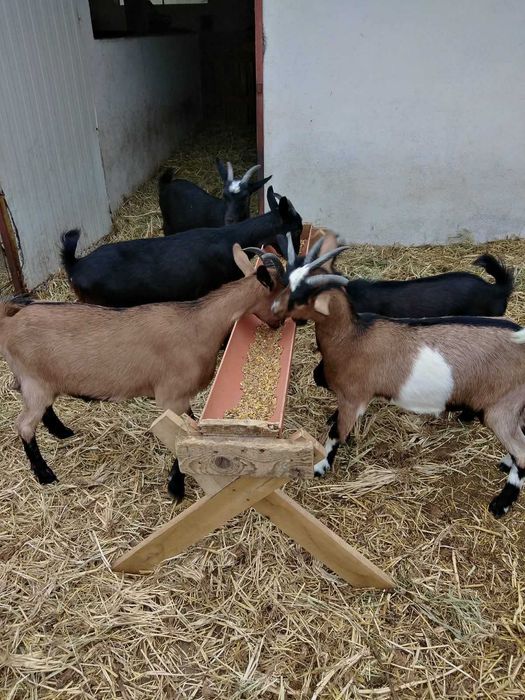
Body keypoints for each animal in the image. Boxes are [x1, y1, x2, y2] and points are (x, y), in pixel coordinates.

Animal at [1, 245, 282, 500]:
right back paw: (45, 474)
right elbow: (182, 435)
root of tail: (9, 324)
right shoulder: (172, 397)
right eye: (283, 295)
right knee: (24, 425)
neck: (199, 324)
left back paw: (62, 432)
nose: (281, 325)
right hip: (34, 382)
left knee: (43, 409)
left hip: (40, 381)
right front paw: (175, 488)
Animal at [263, 234, 525, 518]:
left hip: (502, 409)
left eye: (302, 294)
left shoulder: (353, 397)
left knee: (521, 452)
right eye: (286, 280)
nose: (274, 308)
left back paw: (501, 503)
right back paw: (504, 463)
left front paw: (321, 466)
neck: (352, 337)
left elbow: (336, 433)